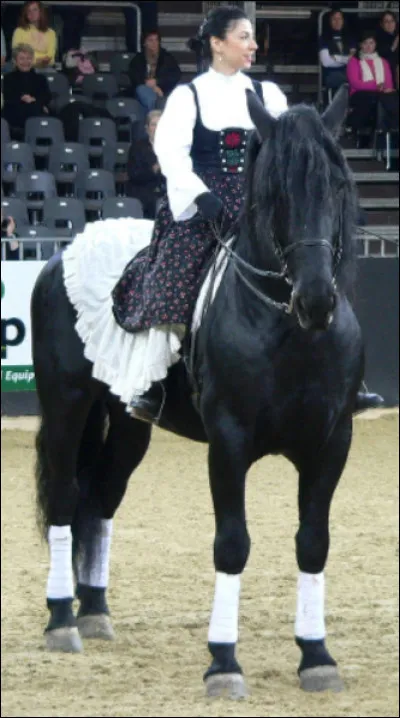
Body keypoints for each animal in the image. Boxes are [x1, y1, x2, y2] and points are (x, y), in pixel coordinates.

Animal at [31, 86, 364, 698]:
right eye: (275, 192)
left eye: (337, 184)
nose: (316, 300)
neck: (285, 327)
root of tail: (61, 254)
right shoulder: (228, 442)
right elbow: (232, 545)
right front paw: (224, 663)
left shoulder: (332, 441)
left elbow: (313, 542)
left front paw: (317, 656)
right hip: (67, 404)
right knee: (66, 498)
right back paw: (63, 619)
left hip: (128, 422)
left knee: (101, 498)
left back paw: (95, 612)